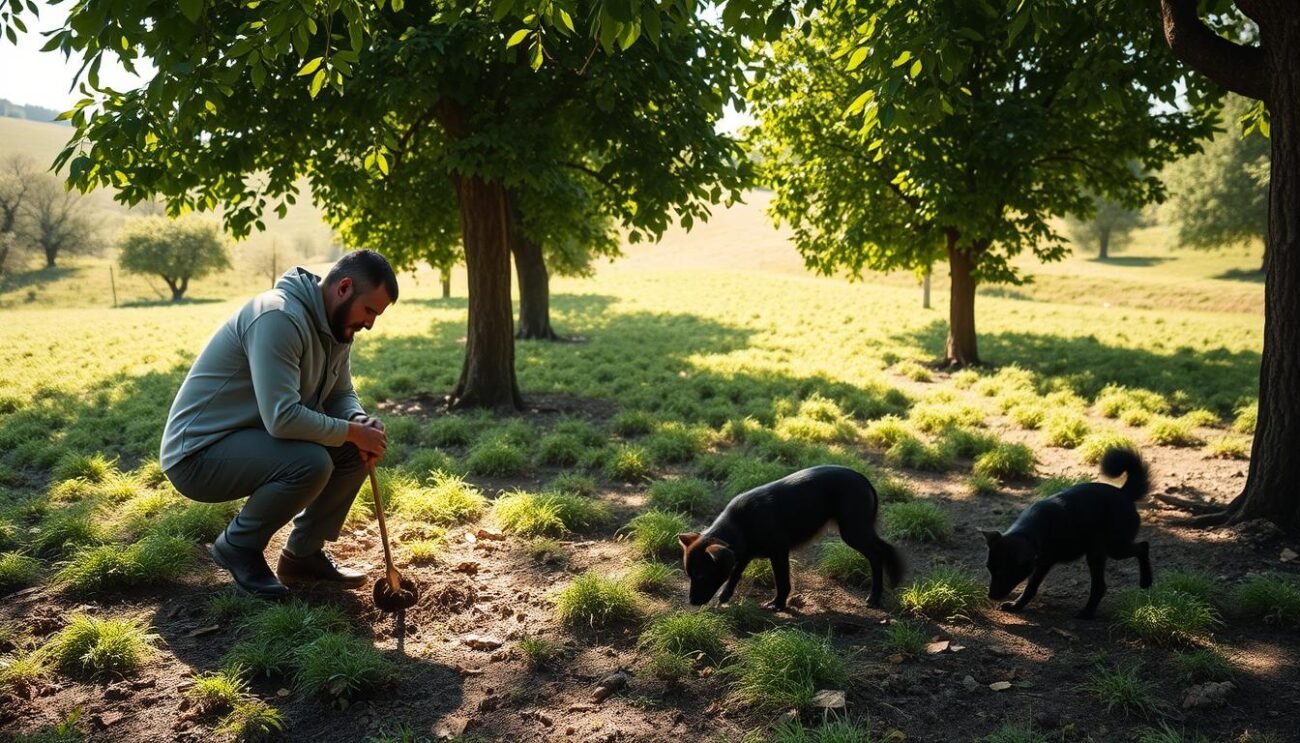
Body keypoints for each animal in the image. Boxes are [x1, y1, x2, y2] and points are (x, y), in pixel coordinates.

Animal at [681, 465, 904, 610]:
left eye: (701, 575)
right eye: (690, 575)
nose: (691, 602)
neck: (740, 524)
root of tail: (864, 480)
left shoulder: (779, 552)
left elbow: (782, 581)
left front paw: (778, 604)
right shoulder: (742, 555)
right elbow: (734, 576)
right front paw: (725, 597)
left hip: (853, 531)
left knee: (877, 554)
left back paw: (875, 596)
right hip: (860, 530)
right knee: (886, 548)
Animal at [977, 449, 1154, 618]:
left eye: (1003, 571)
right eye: (989, 569)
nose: (990, 596)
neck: (1029, 531)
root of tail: (1124, 493)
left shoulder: (1043, 564)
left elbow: (1030, 588)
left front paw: (1016, 606)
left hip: (1109, 549)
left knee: (1138, 551)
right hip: (1105, 550)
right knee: (1141, 548)